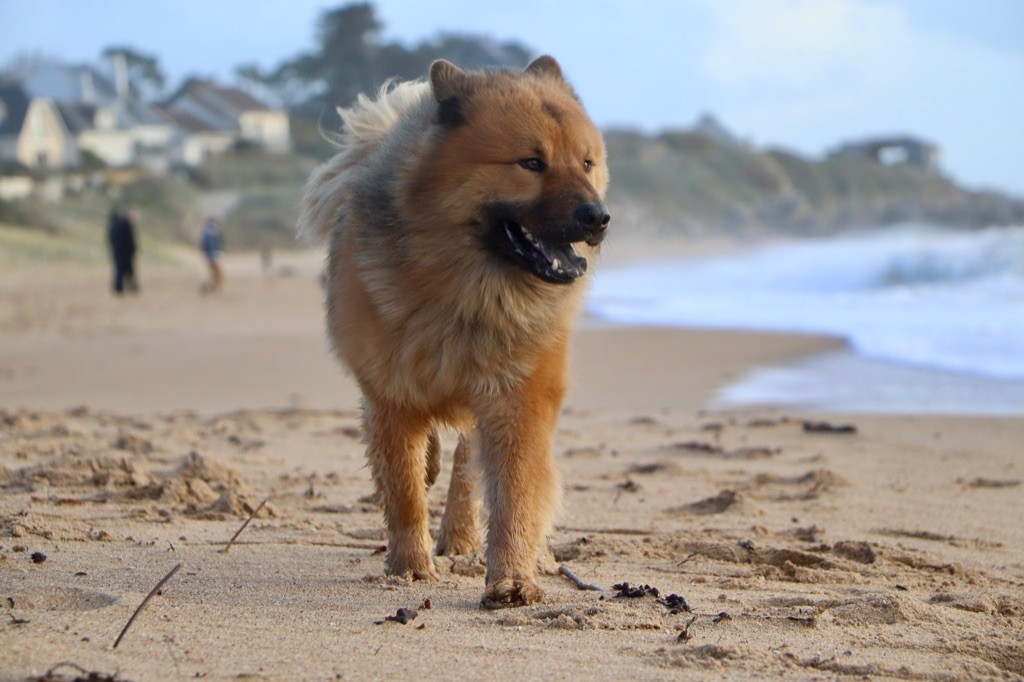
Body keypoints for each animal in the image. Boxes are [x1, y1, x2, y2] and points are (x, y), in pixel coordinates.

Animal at [299, 54, 610, 606]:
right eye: (532, 163)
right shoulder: (391, 393)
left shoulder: (517, 397)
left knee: (466, 472)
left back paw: (463, 539)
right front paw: (410, 568)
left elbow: (513, 494)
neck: (466, 293)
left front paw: (512, 579)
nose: (598, 217)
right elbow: (403, 488)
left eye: (587, 164)